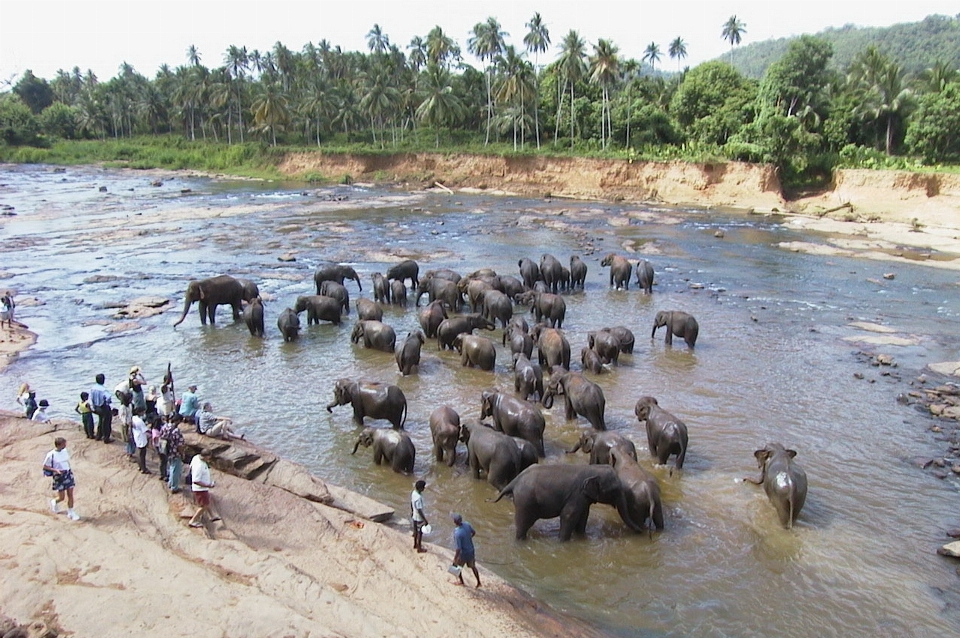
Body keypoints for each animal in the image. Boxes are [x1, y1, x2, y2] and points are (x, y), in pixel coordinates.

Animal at [492, 464, 640, 540]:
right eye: (614, 490)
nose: (642, 531)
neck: (592, 469)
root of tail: (514, 482)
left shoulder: (583, 499)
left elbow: (583, 516)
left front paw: (581, 537)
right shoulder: (576, 495)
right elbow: (569, 516)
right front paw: (563, 541)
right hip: (526, 501)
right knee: (524, 523)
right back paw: (521, 541)